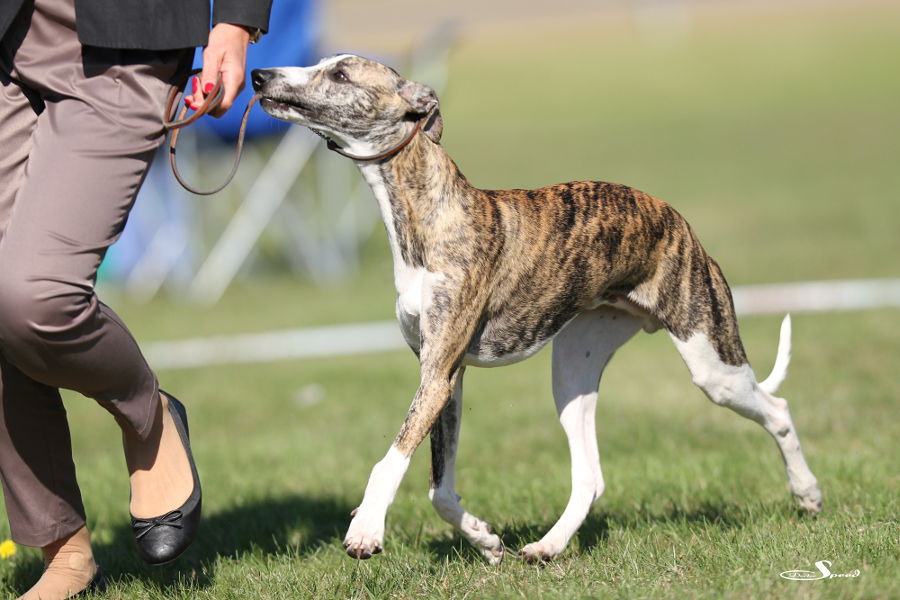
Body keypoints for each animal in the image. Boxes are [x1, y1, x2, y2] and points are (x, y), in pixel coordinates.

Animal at [251, 55, 824, 564]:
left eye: (340, 73)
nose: (259, 75)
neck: (431, 216)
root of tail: (676, 218)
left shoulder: (437, 371)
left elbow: (391, 458)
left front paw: (366, 530)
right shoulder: (446, 375)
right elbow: (439, 488)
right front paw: (485, 540)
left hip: (710, 358)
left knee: (777, 409)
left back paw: (808, 494)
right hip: (573, 368)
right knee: (591, 477)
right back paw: (547, 547)